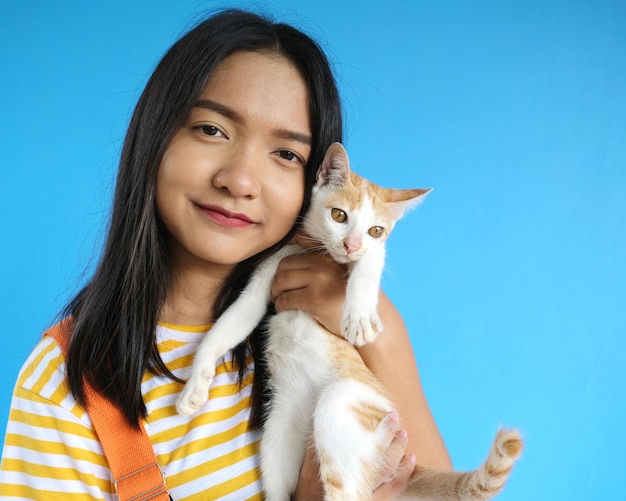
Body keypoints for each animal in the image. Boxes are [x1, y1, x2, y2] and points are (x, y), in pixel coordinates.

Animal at [177, 142, 520, 500]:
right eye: (339, 215)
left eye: (376, 231)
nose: (351, 244)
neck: (313, 250)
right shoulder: (265, 276)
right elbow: (229, 324)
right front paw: (193, 388)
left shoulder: (371, 253)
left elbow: (368, 268)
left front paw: (359, 318)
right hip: (277, 438)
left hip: (345, 403)